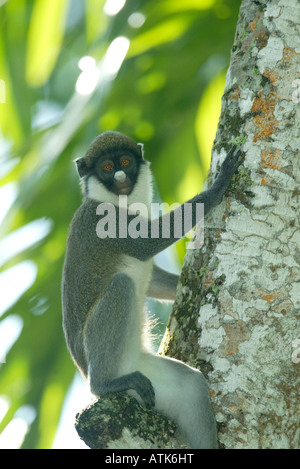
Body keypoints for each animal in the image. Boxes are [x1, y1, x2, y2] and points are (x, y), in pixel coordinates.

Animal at [62, 131, 243, 446]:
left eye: (125, 162)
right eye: (106, 168)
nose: (121, 176)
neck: (120, 203)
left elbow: (154, 279)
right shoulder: (107, 222)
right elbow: (150, 242)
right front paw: (218, 187)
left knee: (193, 385)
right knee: (121, 286)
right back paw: (104, 384)